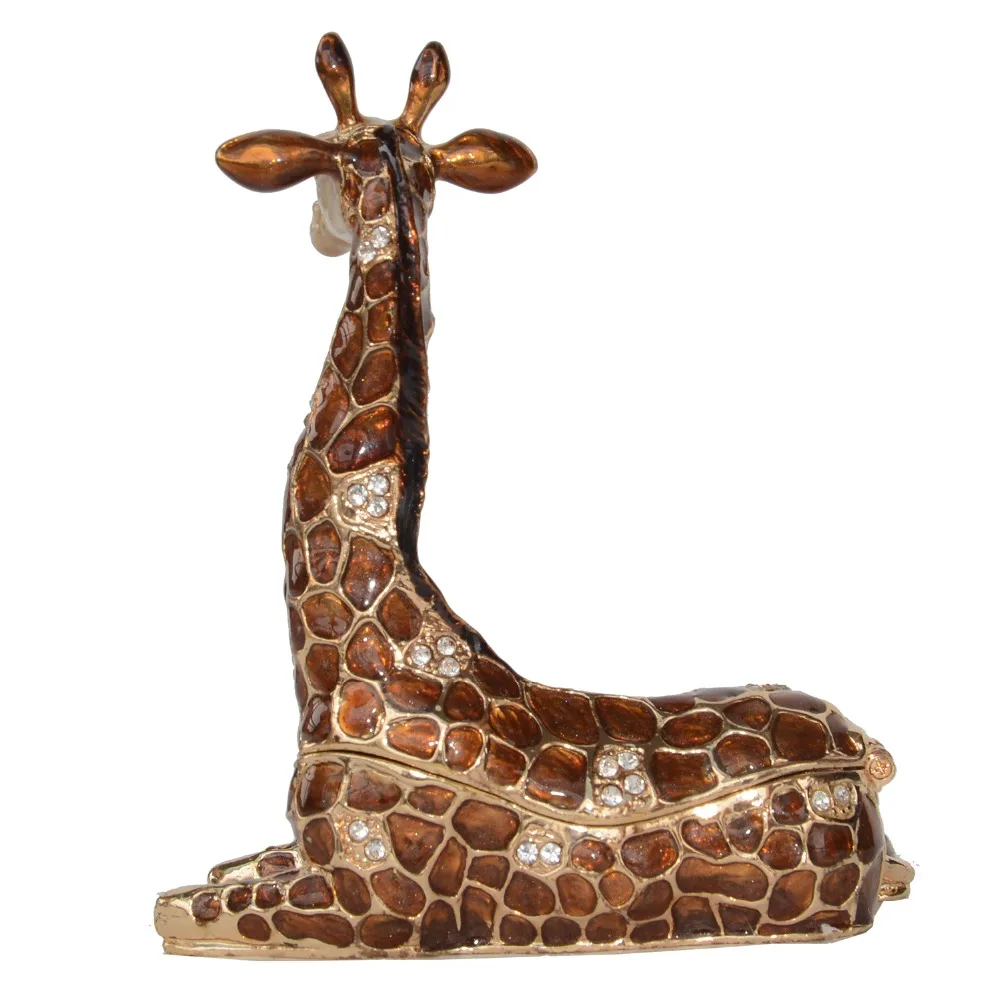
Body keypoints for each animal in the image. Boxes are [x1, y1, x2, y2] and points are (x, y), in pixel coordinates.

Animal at [154, 33, 912, 957]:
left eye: (327, 168)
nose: (316, 232)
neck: (353, 655)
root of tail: (867, 753)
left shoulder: (360, 899)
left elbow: (178, 906)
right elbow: (222, 867)